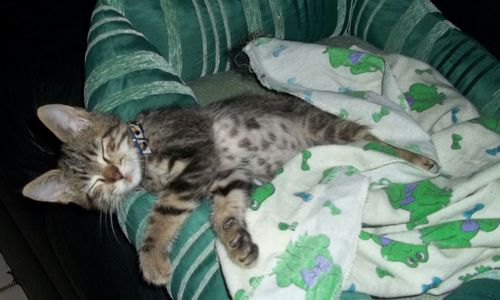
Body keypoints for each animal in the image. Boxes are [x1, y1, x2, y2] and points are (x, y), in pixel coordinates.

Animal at [21, 92, 432, 284]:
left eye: (104, 150)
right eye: (93, 186)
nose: (114, 176)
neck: (145, 147)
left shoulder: (200, 151)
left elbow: (166, 210)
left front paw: (151, 258)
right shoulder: (223, 172)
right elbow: (225, 206)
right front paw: (234, 238)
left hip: (328, 127)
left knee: (374, 140)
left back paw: (422, 161)